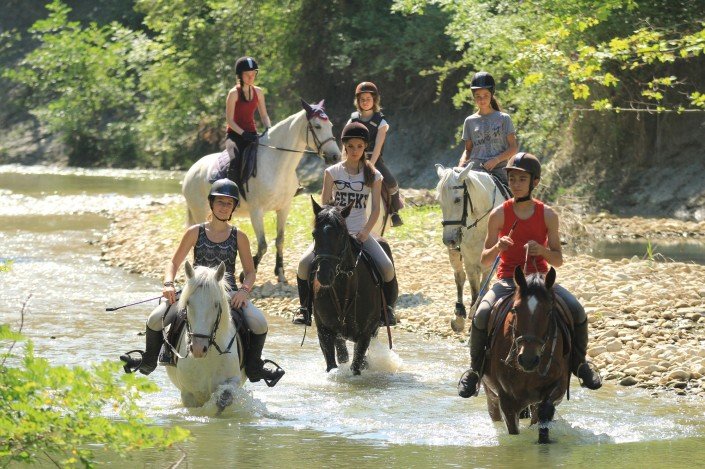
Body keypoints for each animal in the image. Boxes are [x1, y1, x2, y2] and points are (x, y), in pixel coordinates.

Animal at [165, 260, 245, 410]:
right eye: (188, 302)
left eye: (216, 304)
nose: (197, 349)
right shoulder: (188, 395)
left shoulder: (233, 381)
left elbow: (224, 398)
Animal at [183, 99, 340, 282]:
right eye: (317, 126)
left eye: (330, 125)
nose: (336, 156)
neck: (278, 165)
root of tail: (192, 170)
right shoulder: (256, 211)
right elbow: (263, 245)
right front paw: (245, 274)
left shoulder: (284, 208)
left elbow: (280, 240)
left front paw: (280, 273)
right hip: (199, 211)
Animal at [310, 199, 382, 374]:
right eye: (314, 234)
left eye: (341, 234)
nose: (324, 275)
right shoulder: (325, 332)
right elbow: (332, 364)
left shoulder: (364, 335)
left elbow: (356, 366)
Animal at [434, 165, 506, 332]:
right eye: (439, 201)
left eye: (457, 199)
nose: (449, 240)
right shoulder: (470, 261)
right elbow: (473, 289)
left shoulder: (491, 263)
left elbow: (482, 290)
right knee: (459, 277)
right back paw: (459, 316)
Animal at [478, 266, 572, 444]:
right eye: (515, 309)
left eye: (549, 311)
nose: (528, 360)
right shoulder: (507, 400)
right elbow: (512, 428)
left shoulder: (557, 387)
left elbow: (544, 413)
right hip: (490, 394)